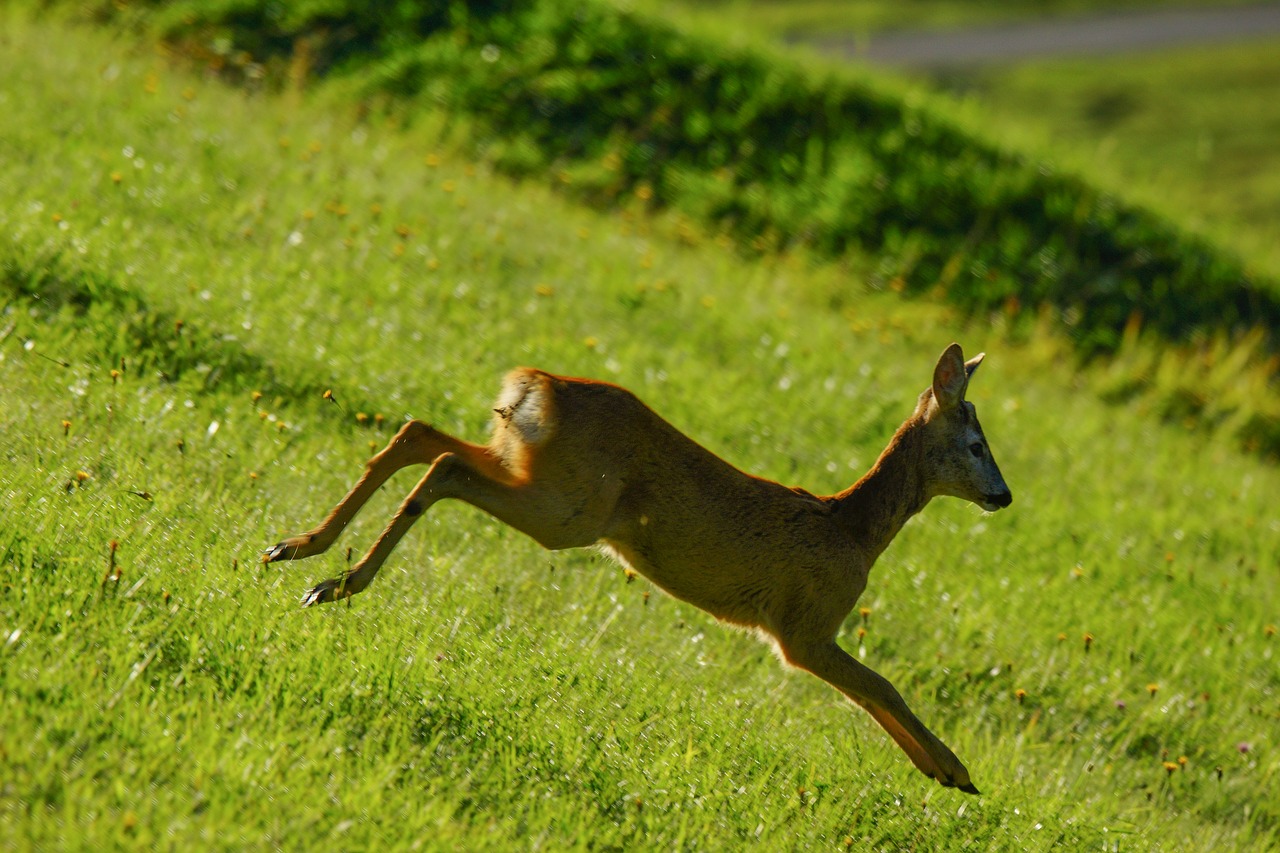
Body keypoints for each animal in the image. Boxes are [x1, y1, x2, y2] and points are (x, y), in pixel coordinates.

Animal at [267, 340, 1008, 788]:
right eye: (976, 443)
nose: (1003, 495)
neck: (854, 530)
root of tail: (536, 389)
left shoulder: (807, 633)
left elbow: (872, 692)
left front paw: (939, 771)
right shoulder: (802, 628)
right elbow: (884, 686)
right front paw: (957, 771)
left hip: (531, 468)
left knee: (420, 433)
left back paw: (298, 548)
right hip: (570, 509)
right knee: (444, 464)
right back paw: (336, 582)